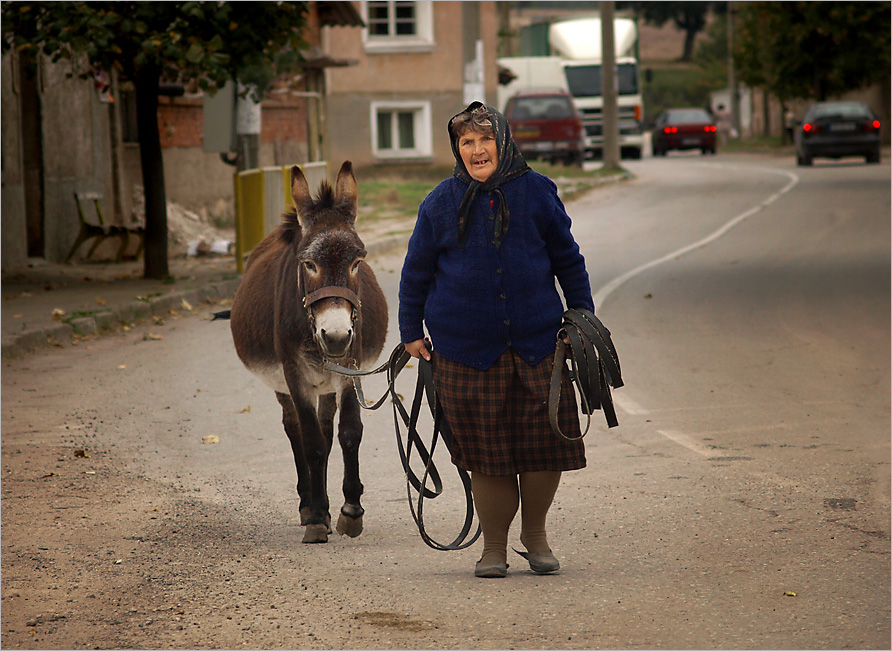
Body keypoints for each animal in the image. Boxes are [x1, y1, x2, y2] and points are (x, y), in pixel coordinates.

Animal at [227, 161, 388, 543]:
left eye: (358, 261)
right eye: (308, 264)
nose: (336, 336)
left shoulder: (350, 370)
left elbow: (348, 434)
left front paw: (349, 511)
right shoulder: (294, 375)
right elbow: (310, 442)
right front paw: (316, 516)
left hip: (328, 383)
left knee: (327, 431)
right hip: (283, 384)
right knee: (296, 430)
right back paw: (308, 504)